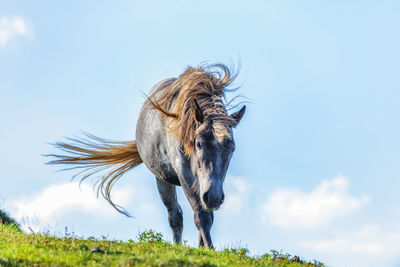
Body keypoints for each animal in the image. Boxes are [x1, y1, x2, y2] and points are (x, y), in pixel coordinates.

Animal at [46, 63, 244, 249]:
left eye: (231, 149)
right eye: (199, 144)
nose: (214, 197)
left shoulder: (208, 186)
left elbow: (206, 213)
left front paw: (205, 248)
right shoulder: (185, 174)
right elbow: (201, 215)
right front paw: (209, 249)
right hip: (162, 179)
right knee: (175, 215)